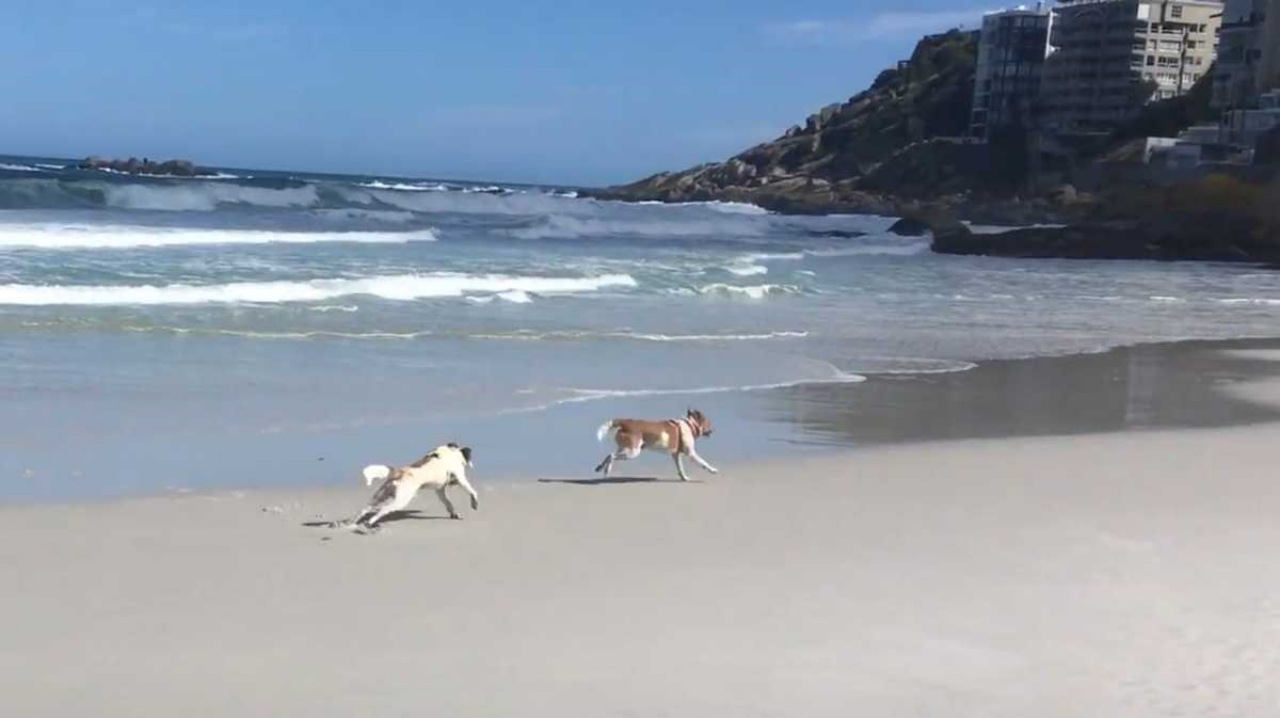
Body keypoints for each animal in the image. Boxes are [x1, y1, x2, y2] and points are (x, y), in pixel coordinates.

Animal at [337, 442, 478, 532]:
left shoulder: (440, 491)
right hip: (400, 501)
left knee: (364, 509)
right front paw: (474, 504)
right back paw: (369, 523)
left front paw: (454, 513)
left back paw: (352, 523)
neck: (450, 452)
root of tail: (399, 472)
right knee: (382, 510)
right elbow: (472, 491)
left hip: (380, 495)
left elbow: (448, 503)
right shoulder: (460, 477)